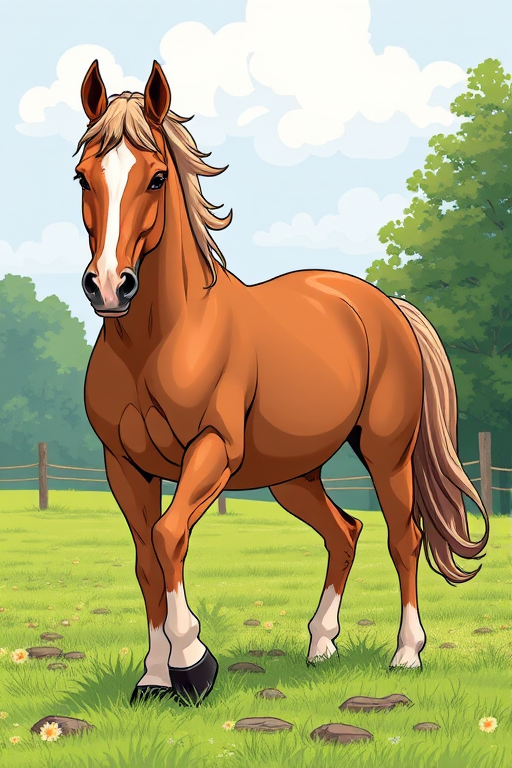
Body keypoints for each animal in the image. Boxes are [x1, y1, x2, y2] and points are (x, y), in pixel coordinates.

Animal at [76, 59, 489, 706]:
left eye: (157, 177)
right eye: (83, 178)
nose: (109, 286)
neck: (157, 341)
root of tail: (386, 306)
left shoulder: (213, 451)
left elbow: (169, 536)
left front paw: (192, 664)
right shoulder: (124, 464)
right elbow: (145, 557)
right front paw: (153, 677)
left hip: (386, 452)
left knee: (404, 536)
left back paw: (406, 654)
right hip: (292, 475)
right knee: (345, 532)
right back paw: (320, 645)